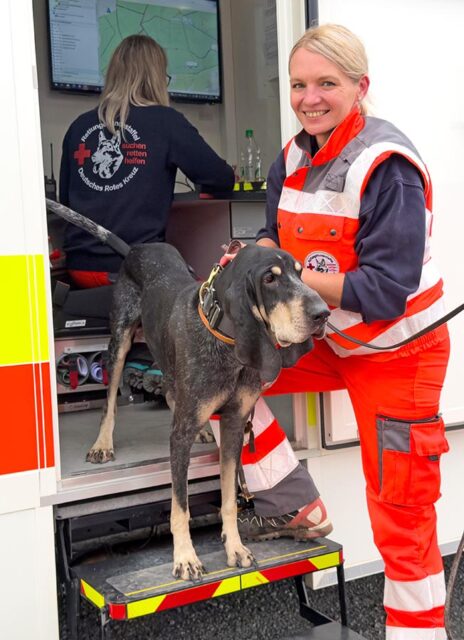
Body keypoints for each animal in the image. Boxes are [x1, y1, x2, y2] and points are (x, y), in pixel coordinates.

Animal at [45, 199, 330, 580]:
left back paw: (203, 430)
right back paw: (103, 443)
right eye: (269, 278)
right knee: (111, 400)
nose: (323, 313)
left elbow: (228, 498)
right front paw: (184, 558)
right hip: (119, 340)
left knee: (169, 390)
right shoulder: (178, 438)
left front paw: (235, 547)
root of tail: (138, 248)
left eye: (300, 273)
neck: (224, 342)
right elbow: (179, 506)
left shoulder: (235, 425)